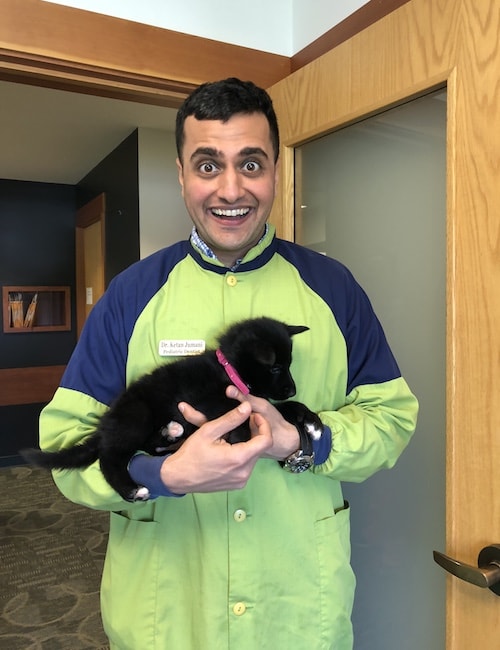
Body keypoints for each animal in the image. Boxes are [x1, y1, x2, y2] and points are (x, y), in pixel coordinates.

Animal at [23, 316, 322, 498]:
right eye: (276, 367)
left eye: (289, 364)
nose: (292, 388)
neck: (229, 370)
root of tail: (108, 422)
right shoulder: (213, 403)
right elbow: (246, 414)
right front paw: (240, 439)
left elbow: (281, 408)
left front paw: (312, 422)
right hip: (136, 417)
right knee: (110, 458)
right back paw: (132, 490)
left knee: (150, 446)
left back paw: (171, 435)